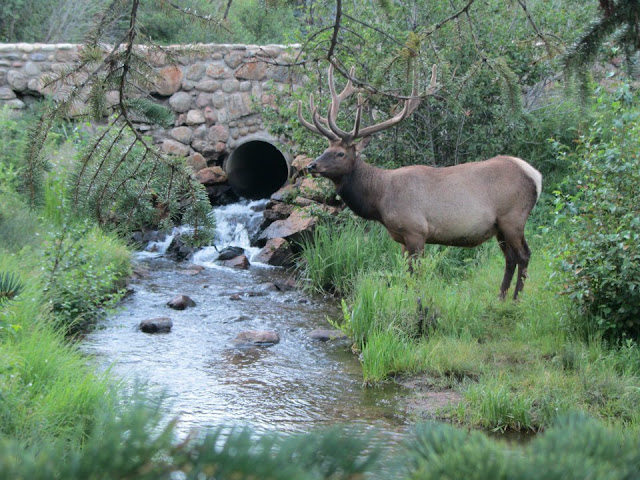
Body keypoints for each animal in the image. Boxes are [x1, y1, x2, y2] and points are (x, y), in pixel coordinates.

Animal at [297, 64, 542, 300]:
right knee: (510, 257)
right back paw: (500, 297)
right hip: (500, 226)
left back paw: (516, 299)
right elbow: (405, 273)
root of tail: (536, 176)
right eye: (326, 148)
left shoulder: (416, 230)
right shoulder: (402, 239)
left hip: (513, 217)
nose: (311, 166)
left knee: (524, 255)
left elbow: (414, 275)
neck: (380, 199)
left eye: (340, 153)